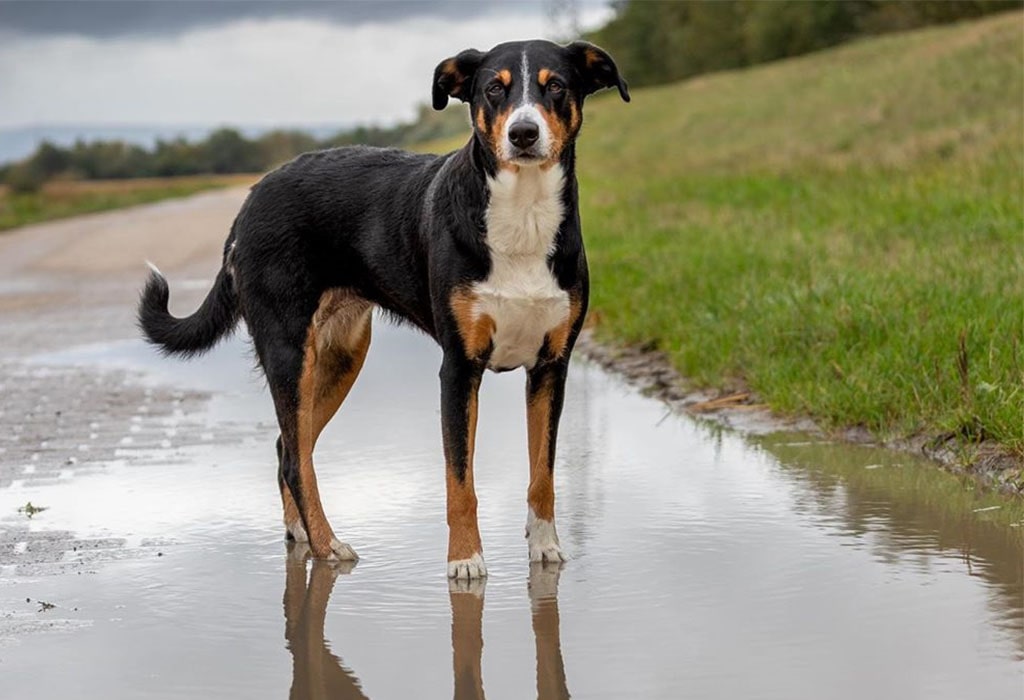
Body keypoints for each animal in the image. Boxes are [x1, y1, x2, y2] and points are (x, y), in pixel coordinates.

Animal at [139, 40, 626, 581]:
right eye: (493, 90)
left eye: (555, 85)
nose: (523, 133)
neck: (522, 213)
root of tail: (250, 200)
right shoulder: (459, 369)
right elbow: (460, 481)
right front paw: (464, 559)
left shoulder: (551, 367)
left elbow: (543, 474)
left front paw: (544, 549)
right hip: (289, 350)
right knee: (295, 459)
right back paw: (327, 544)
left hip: (340, 357)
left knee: (290, 447)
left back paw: (302, 533)